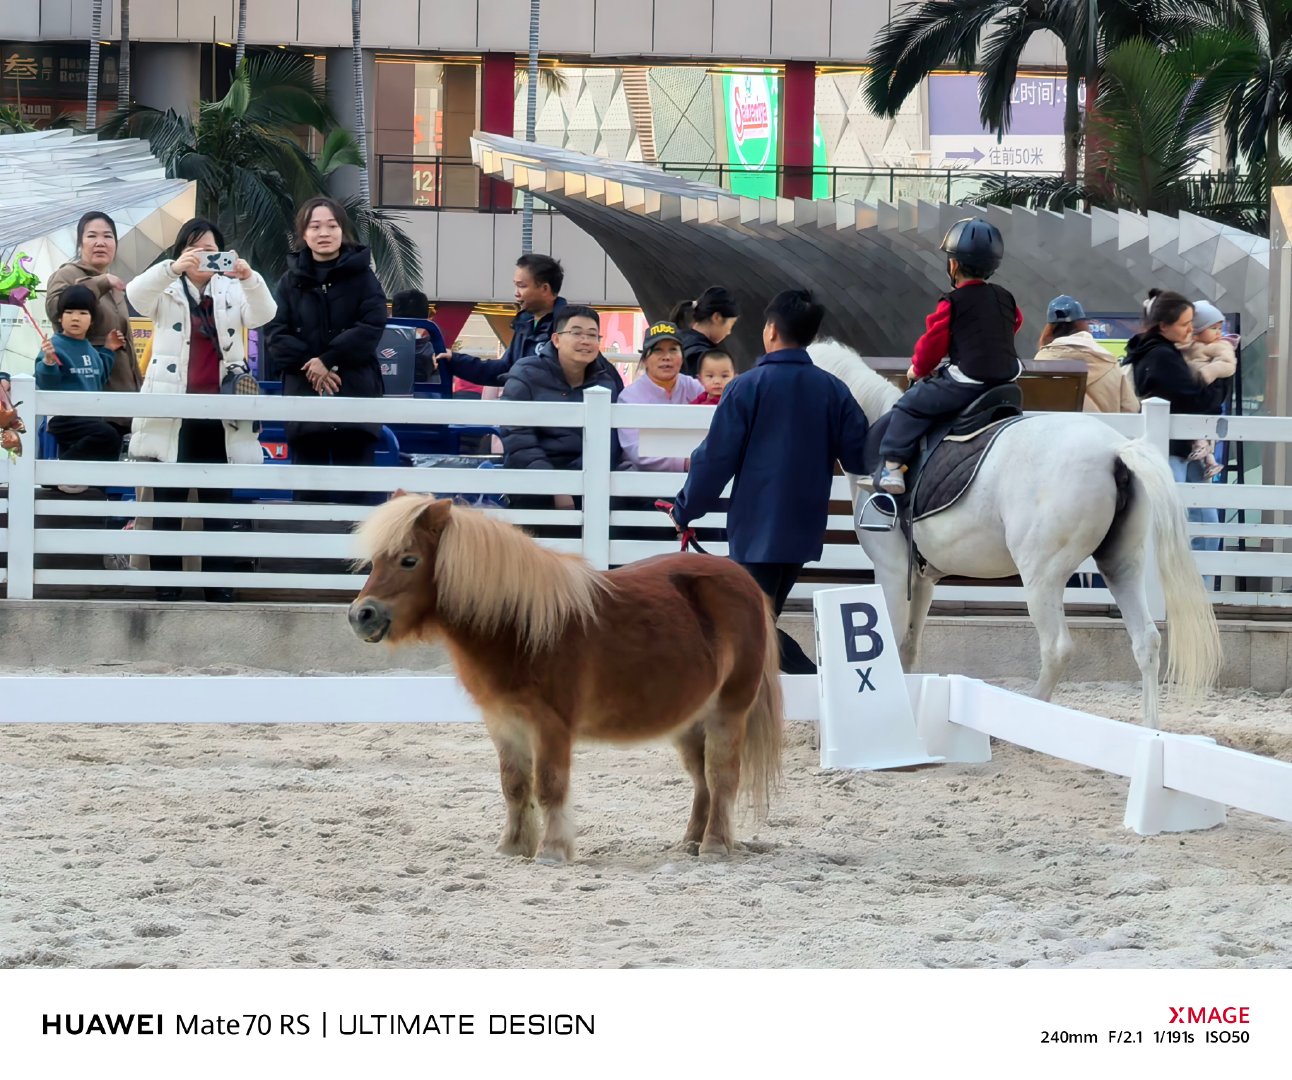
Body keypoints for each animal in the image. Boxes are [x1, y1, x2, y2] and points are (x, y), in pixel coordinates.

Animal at [348, 493, 780, 862]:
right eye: (376, 560)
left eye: (408, 560)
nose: (360, 615)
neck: (519, 625)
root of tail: (742, 579)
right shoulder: (503, 724)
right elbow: (514, 786)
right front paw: (513, 846)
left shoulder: (550, 725)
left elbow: (549, 785)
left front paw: (552, 850)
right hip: (689, 721)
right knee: (701, 780)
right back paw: (690, 841)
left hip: (728, 712)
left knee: (721, 775)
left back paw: (715, 845)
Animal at [806, 338, 1219, 723]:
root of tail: (1114, 449)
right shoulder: (921, 579)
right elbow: (908, 644)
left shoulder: (891, 571)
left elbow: (891, 640)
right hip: (1121, 565)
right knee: (1146, 640)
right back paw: (1149, 726)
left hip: (1042, 577)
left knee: (1057, 648)